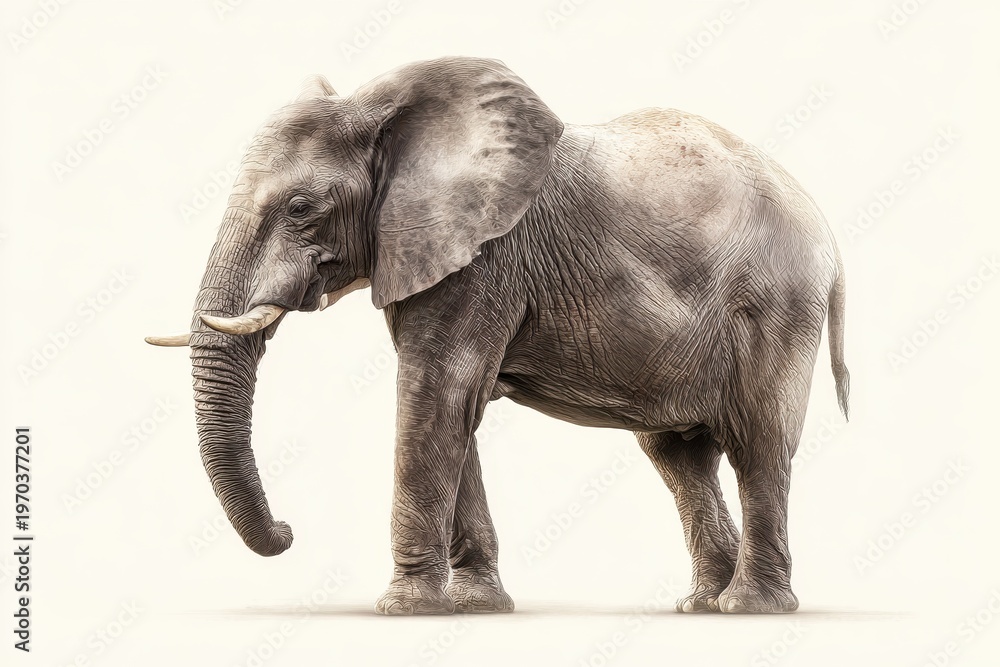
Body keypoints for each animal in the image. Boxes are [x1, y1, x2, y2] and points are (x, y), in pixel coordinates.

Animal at [147, 56, 849, 615]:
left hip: (778, 307)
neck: (384, 109)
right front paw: (477, 607)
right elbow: (455, 410)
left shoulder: (486, 258)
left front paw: (404, 611)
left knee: (759, 445)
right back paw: (701, 606)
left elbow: (435, 396)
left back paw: (750, 608)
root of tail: (829, 237)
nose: (291, 530)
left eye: (300, 208)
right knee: (681, 458)